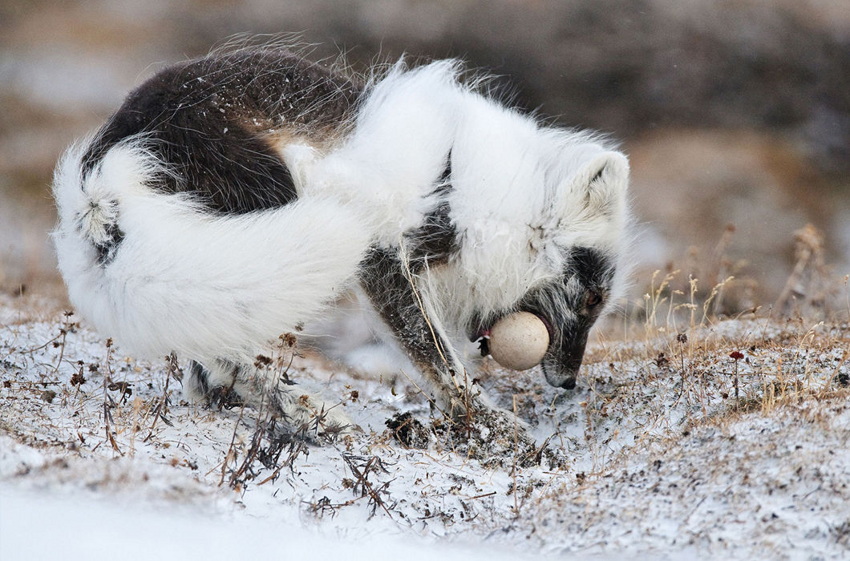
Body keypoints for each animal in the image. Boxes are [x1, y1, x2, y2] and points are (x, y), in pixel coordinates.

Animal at [48, 44, 628, 438]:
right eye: (593, 297)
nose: (570, 383)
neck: (469, 190)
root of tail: (101, 167)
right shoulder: (385, 257)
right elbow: (438, 358)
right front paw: (491, 429)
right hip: (268, 212)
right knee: (231, 358)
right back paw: (314, 417)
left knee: (205, 359)